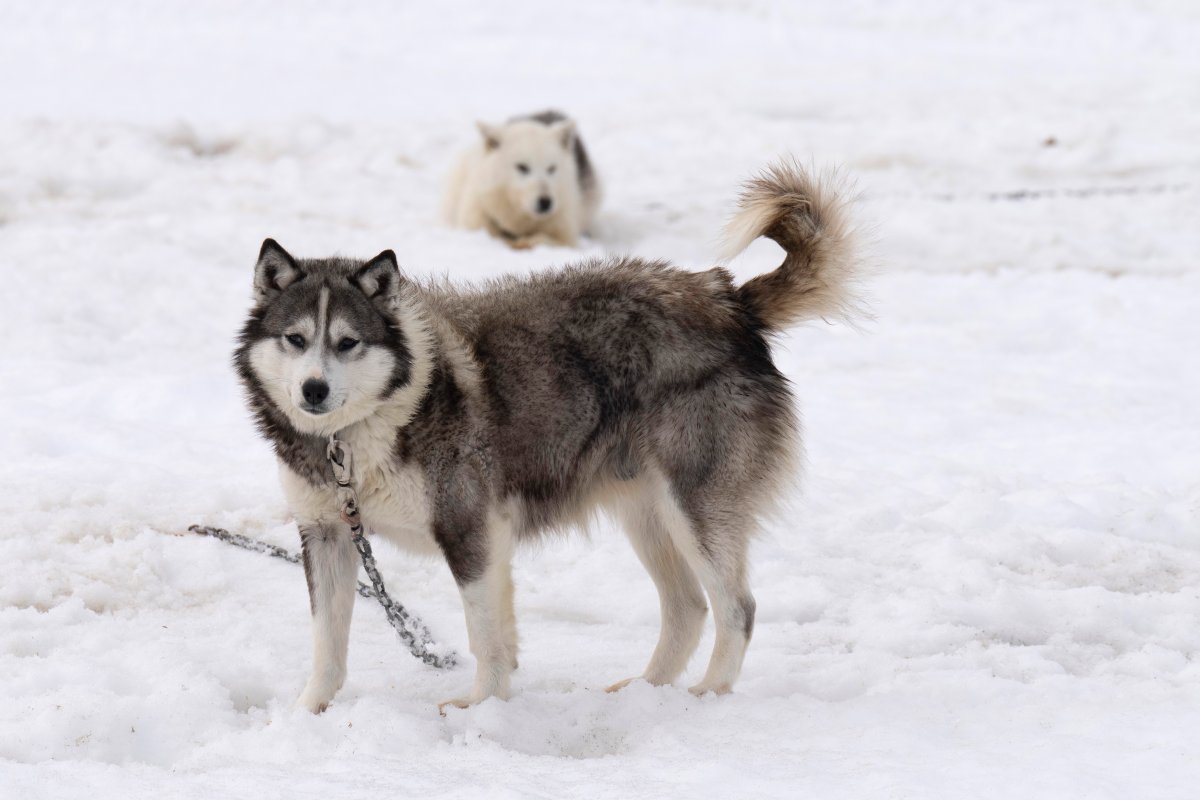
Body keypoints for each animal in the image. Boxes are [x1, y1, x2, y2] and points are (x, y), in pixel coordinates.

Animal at [236, 160, 854, 714]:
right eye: (295, 339)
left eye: (348, 342)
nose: (313, 390)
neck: (357, 433)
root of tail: (730, 302)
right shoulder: (328, 536)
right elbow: (328, 643)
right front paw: (308, 712)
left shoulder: (469, 529)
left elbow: (484, 634)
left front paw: (481, 707)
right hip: (648, 514)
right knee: (687, 609)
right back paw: (647, 694)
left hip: (695, 510)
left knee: (737, 608)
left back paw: (708, 696)